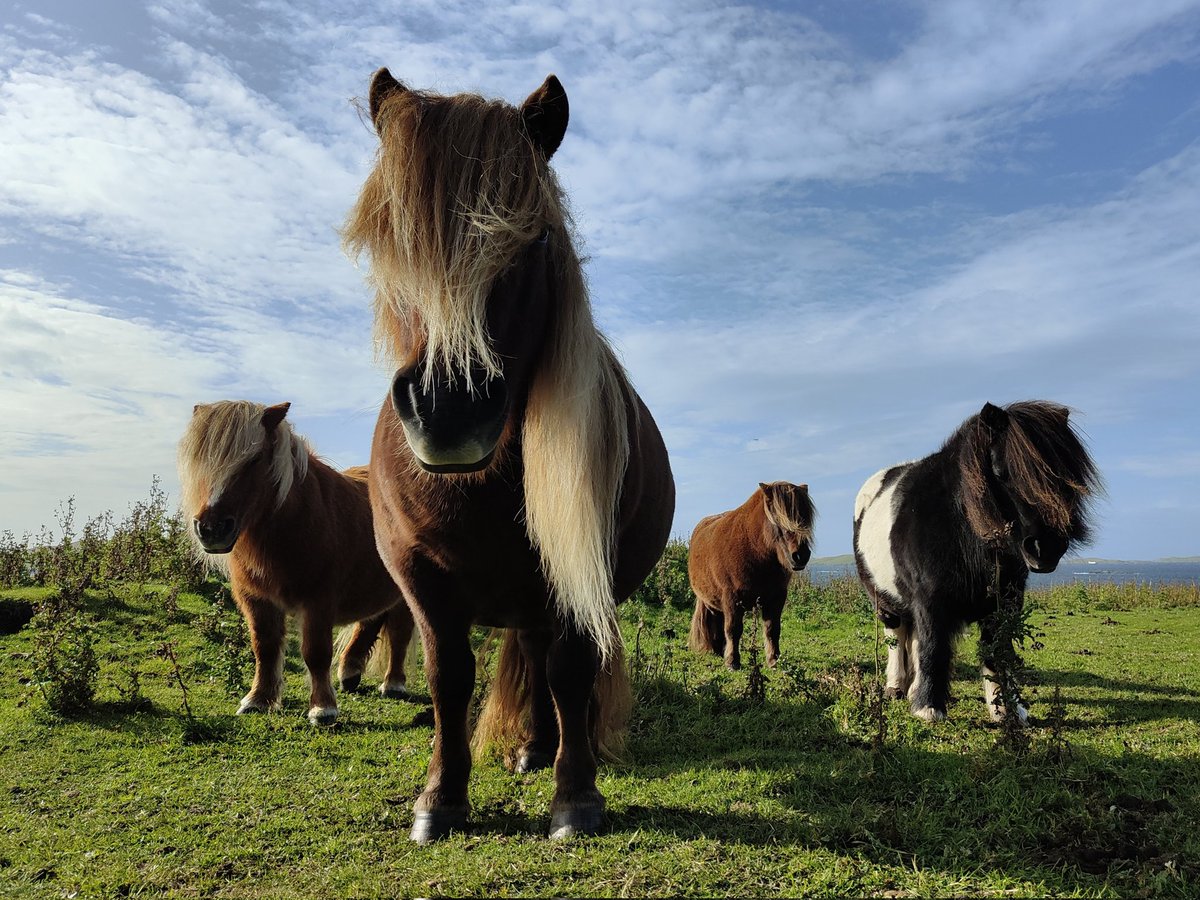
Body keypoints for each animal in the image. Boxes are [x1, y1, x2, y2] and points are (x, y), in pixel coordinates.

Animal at [177, 400, 417, 724]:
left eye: (254, 460)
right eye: (200, 461)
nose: (211, 529)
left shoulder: (319, 600)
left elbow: (315, 652)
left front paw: (323, 709)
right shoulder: (255, 599)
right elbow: (264, 647)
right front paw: (258, 700)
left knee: (400, 631)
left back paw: (393, 684)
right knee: (370, 622)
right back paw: (350, 672)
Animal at [343, 72, 676, 844]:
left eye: (534, 237)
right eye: (390, 237)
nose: (448, 408)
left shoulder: (578, 570)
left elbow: (571, 670)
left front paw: (575, 796)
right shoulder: (419, 577)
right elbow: (448, 676)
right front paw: (440, 798)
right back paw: (530, 747)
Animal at [686, 487, 816, 672]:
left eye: (805, 517)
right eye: (778, 517)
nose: (801, 556)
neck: (755, 550)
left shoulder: (776, 598)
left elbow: (772, 629)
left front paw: (773, 660)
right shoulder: (732, 598)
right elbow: (733, 629)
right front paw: (732, 662)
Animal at [854, 403, 1099, 724]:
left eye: (1066, 474)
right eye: (1000, 472)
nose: (1045, 548)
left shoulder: (1004, 603)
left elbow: (997, 652)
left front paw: (1007, 710)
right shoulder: (930, 601)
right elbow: (934, 647)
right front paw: (928, 708)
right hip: (884, 601)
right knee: (896, 635)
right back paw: (896, 687)